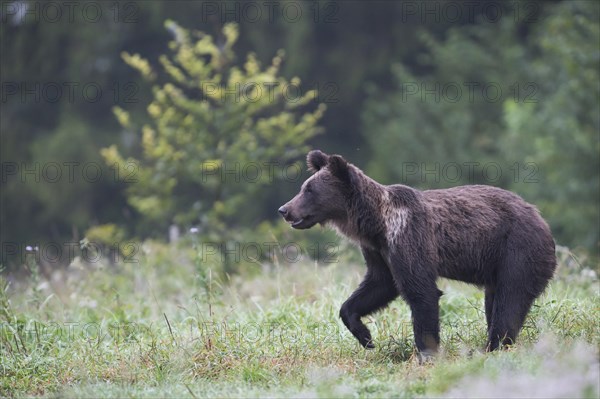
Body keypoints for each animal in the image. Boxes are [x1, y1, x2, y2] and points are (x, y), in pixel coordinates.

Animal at [278, 151, 556, 356]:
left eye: (309, 190)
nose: (285, 209)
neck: (375, 224)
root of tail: (540, 218)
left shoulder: (408, 236)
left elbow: (421, 292)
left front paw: (426, 352)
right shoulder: (379, 251)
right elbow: (378, 285)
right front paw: (365, 336)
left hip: (517, 250)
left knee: (510, 299)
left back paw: (493, 346)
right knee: (495, 300)